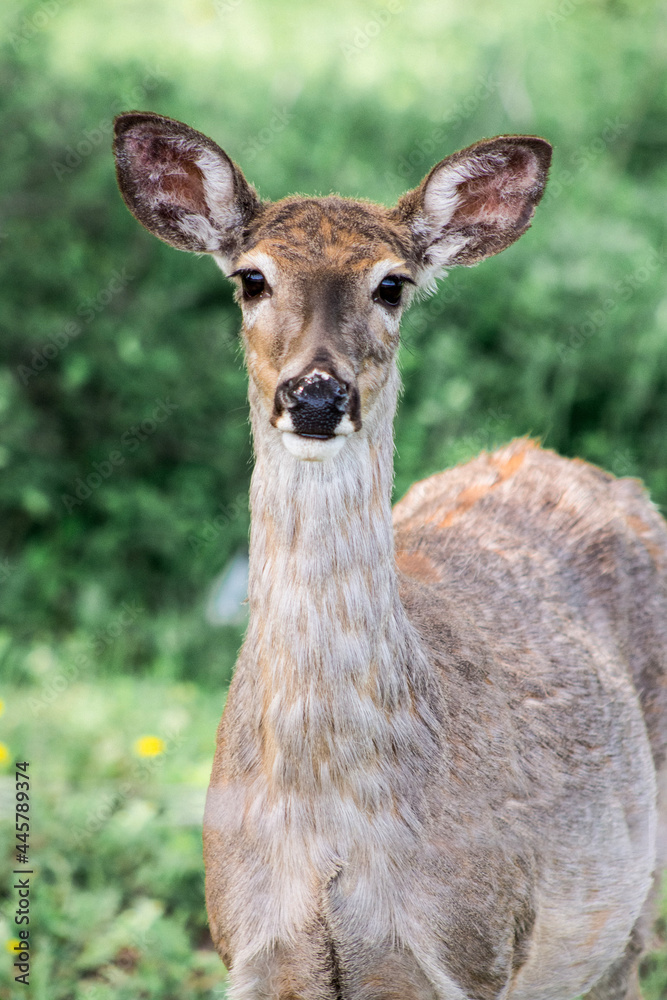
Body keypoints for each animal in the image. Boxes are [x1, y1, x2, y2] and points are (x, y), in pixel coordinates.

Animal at [112, 113, 664, 1000]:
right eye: (251, 278)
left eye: (392, 285)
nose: (315, 395)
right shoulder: (250, 946)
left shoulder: (467, 952)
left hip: (626, 911)